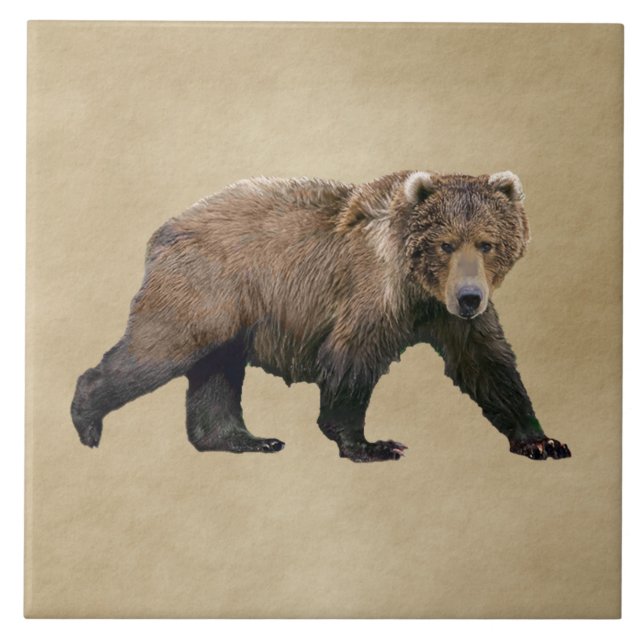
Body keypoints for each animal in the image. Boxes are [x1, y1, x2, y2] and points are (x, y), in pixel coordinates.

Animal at [71, 170, 571, 463]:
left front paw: (541, 440)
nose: (469, 297)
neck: (418, 287)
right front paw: (371, 444)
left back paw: (245, 439)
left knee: (218, 371)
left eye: (487, 242)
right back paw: (87, 418)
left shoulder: (448, 316)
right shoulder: (370, 291)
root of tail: (166, 228)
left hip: (235, 313)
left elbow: (488, 364)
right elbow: (351, 359)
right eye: (445, 243)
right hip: (207, 290)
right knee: (161, 348)